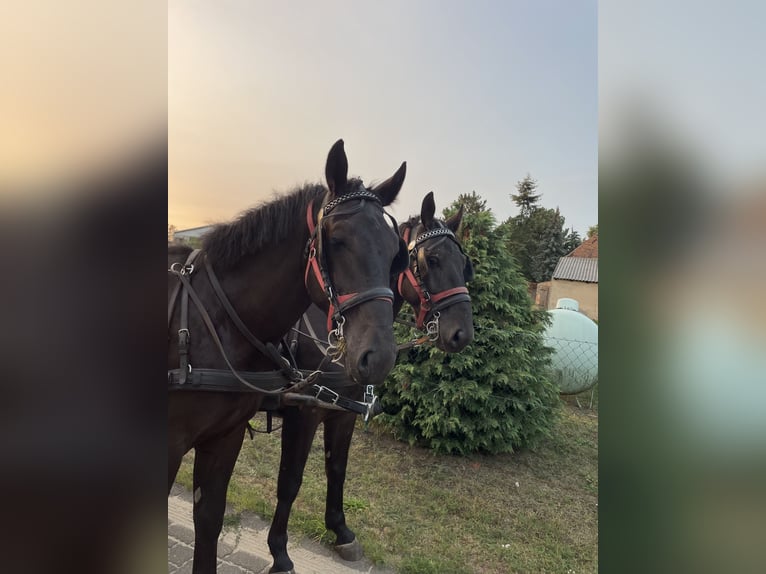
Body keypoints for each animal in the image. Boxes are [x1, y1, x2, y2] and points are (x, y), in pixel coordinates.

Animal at [166, 141, 408, 574]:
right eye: (337, 239)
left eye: (397, 252)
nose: (379, 357)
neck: (212, 318)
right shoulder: (304, 414)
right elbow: (291, 480)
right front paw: (280, 551)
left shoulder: (228, 437)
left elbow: (210, 520)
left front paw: (339, 531)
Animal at [268, 194, 476, 574]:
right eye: (432, 260)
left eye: (464, 264)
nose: (462, 334)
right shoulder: (303, 414)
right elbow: (290, 480)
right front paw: (278, 550)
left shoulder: (343, 413)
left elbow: (337, 469)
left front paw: (340, 530)